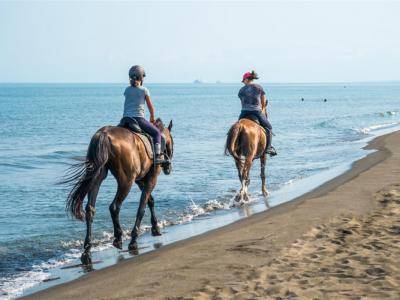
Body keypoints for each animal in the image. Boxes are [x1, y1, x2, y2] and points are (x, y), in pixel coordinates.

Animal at [63, 118, 173, 264]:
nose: (168, 168)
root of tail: (104, 134)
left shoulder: (140, 180)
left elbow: (150, 201)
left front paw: (155, 227)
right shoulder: (151, 179)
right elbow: (142, 207)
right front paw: (134, 239)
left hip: (98, 175)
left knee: (90, 210)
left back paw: (87, 252)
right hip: (126, 181)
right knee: (114, 206)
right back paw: (118, 238)